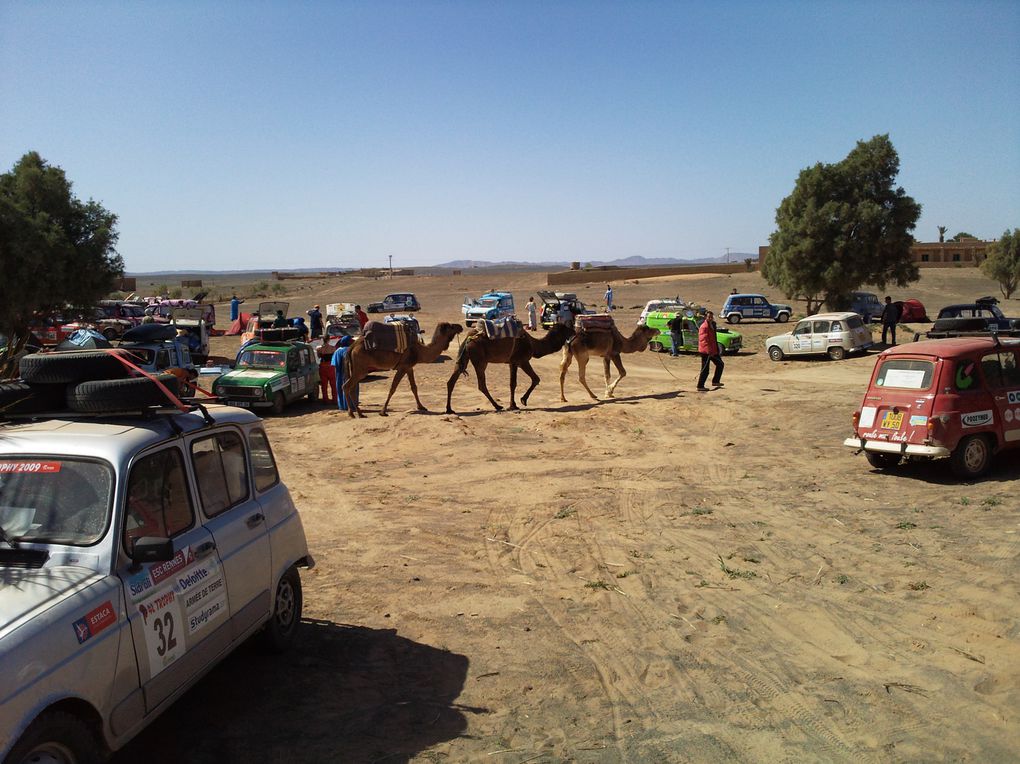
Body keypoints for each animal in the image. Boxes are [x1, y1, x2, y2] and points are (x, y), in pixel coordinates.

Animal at [444, 320, 575, 414]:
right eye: (566, 329)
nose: (574, 331)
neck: (533, 345)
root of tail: (468, 339)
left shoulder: (512, 363)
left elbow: (512, 384)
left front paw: (514, 404)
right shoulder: (521, 361)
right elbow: (534, 379)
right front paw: (522, 401)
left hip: (464, 358)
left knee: (451, 381)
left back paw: (449, 409)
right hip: (480, 360)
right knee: (481, 385)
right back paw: (497, 406)